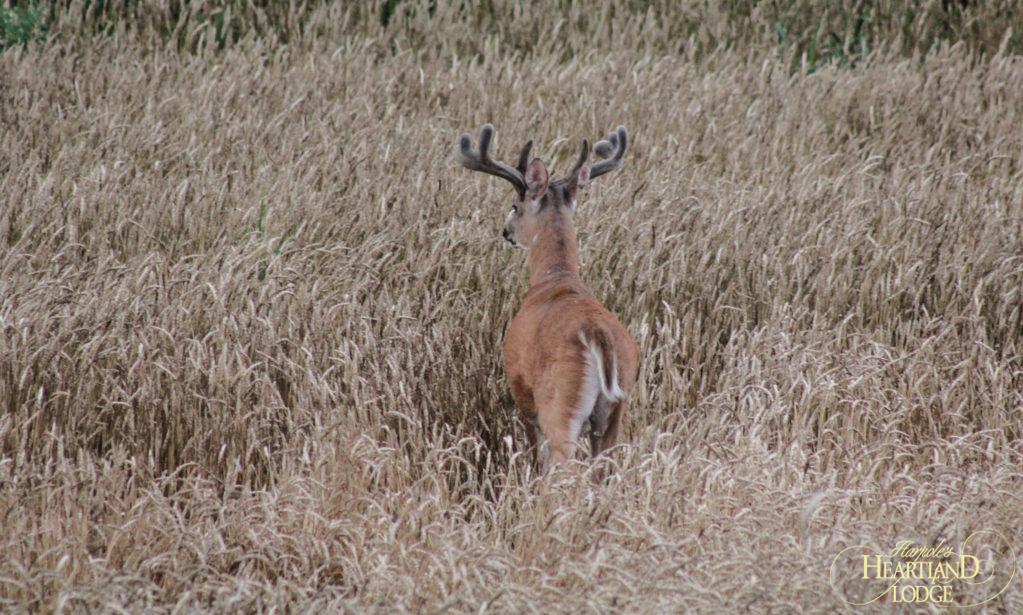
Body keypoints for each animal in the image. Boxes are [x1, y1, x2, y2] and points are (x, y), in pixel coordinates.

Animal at [458, 123, 638, 470]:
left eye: (515, 206)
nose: (506, 232)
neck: (555, 277)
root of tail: (597, 333)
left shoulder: (523, 394)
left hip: (560, 405)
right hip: (617, 409)